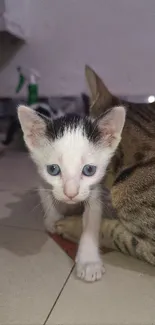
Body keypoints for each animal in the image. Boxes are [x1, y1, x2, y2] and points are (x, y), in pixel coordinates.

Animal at [17, 104, 126, 280]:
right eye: (53, 169)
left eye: (89, 170)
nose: (71, 193)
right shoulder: (41, 179)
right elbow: (46, 197)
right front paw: (53, 219)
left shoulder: (95, 190)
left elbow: (92, 220)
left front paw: (89, 261)